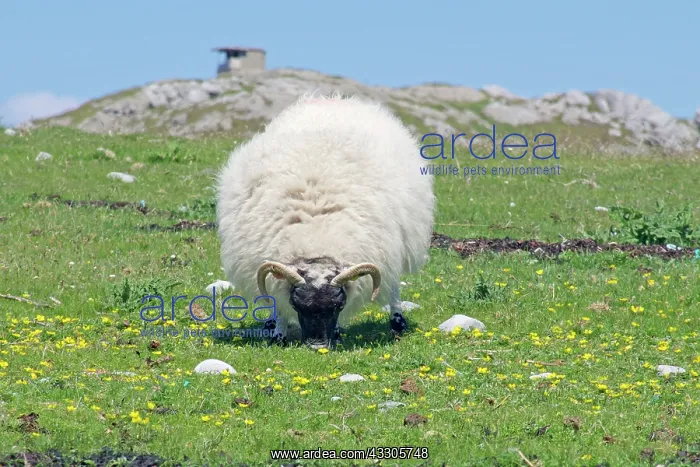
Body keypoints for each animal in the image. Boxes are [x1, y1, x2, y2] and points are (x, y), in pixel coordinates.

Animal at [216, 93, 435, 349]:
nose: (317, 346)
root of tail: (333, 100)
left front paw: (337, 333)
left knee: (392, 285)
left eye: (338, 306)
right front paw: (277, 333)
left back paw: (397, 323)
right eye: (297, 305)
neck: (316, 233)